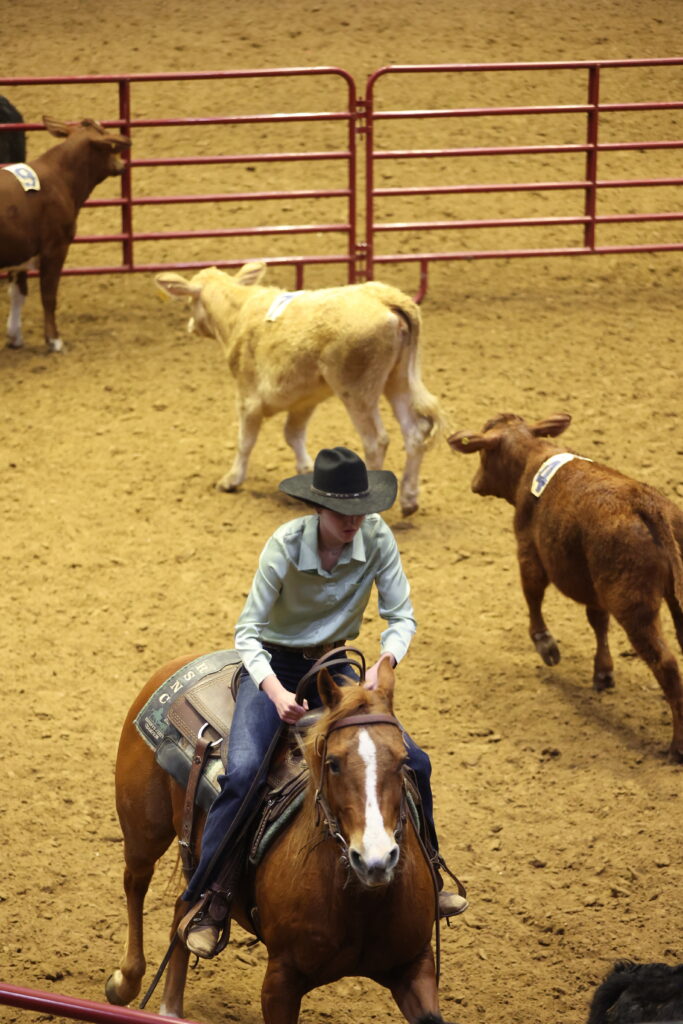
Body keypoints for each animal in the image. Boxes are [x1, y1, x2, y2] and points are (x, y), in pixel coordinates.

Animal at [0, 115, 131, 352]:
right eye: (109, 147)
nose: (122, 165)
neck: (59, 177)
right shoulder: (55, 247)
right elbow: (48, 295)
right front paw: (54, 340)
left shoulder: (20, 250)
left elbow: (17, 294)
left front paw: (15, 337)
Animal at [105, 652, 459, 1024]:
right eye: (333, 763)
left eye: (403, 760)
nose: (375, 860)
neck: (359, 903)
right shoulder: (281, 981)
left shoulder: (416, 965)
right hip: (144, 829)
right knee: (136, 883)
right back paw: (126, 981)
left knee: (182, 911)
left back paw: (171, 1007)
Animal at [155, 262, 445, 516]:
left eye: (189, 302)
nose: (190, 327)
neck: (238, 313)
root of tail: (387, 300)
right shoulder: (304, 399)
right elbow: (293, 435)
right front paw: (307, 473)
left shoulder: (249, 398)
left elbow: (245, 442)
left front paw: (231, 480)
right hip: (398, 379)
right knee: (416, 432)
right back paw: (409, 500)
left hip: (357, 389)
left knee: (376, 441)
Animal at [448, 412, 683, 762]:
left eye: (482, 452)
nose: (475, 483)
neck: (532, 456)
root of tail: (649, 506)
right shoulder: (593, 586)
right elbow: (598, 621)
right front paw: (603, 672)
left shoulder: (528, 550)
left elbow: (532, 593)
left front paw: (545, 644)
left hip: (633, 604)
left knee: (665, 664)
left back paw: (677, 746)